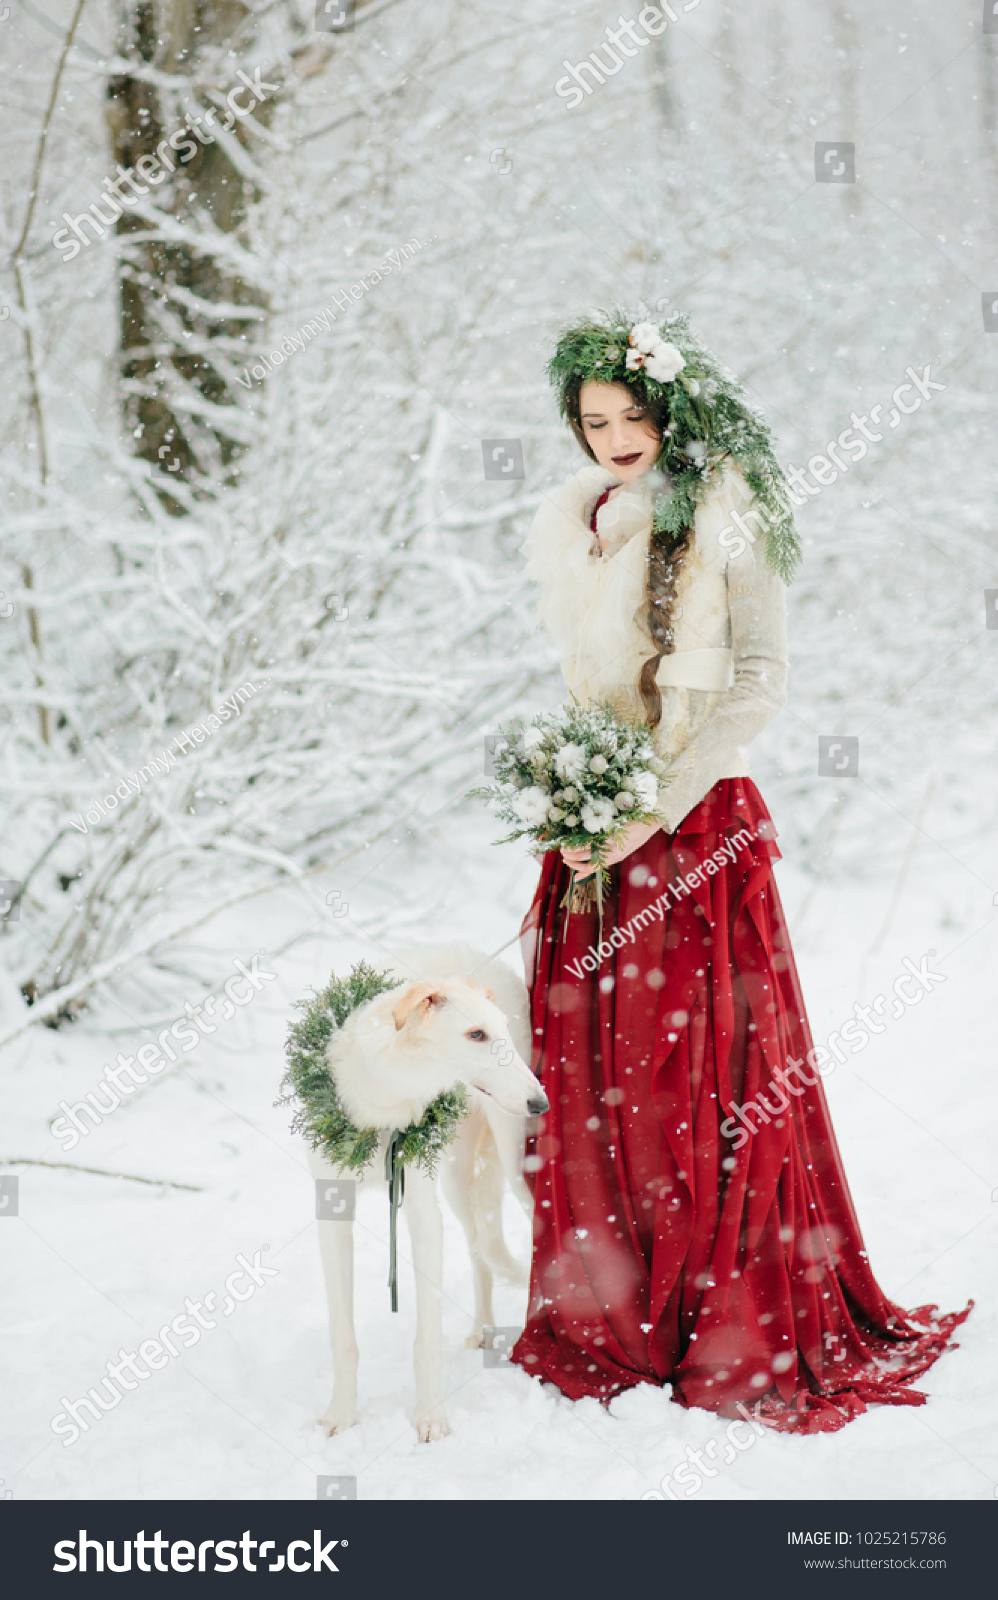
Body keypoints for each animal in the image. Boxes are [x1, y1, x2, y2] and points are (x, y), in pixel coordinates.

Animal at [310, 940, 550, 1446]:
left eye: (497, 1032)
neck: (383, 1098)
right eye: (475, 1034)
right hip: (458, 1182)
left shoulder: (421, 1212)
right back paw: (482, 1329)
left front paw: (431, 1418)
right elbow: (342, 1334)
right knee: (480, 1252)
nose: (541, 1102)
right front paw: (341, 1415)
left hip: (513, 1161)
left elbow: (426, 1337)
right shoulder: (332, 1212)